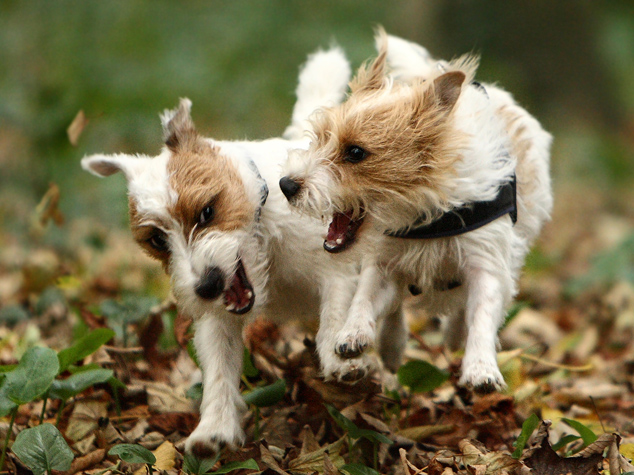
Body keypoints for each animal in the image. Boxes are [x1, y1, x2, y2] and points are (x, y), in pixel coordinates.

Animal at [81, 49, 372, 458]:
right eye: (156, 241)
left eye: (207, 212)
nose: (207, 286)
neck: (265, 243)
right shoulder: (218, 321)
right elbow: (219, 369)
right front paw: (214, 428)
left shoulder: (338, 266)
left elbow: (336, 311)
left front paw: (338, 356)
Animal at [278, 31, 552, 392]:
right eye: (320, 139)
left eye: (355, 152)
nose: (286, 185)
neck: (427, 213)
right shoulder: (382, 264)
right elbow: (364, 299)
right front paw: (353, 332)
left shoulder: (487, 263)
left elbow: (482, 314)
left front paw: (481, 367)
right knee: (395, 309)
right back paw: (391, 345)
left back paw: (453, 336)